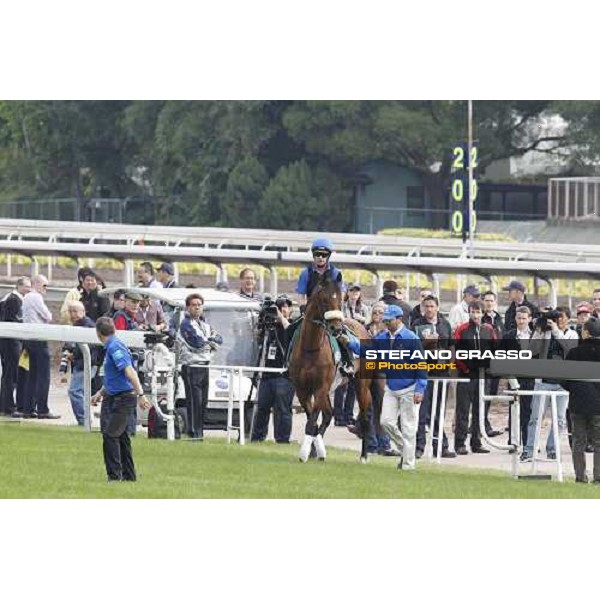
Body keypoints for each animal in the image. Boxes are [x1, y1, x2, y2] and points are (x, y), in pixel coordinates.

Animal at [290, 272, 372, 464]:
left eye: (340, 298)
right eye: (324, 298)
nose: (336, 328)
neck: (311, 348)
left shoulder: (320, 387)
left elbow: (312, 420)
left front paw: (305, 453)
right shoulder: (302, 390)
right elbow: (312, 420)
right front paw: (313, 451)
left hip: (361, 384)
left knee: (364, 415)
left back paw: (364, 456)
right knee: (328, 415)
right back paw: (318, 450)